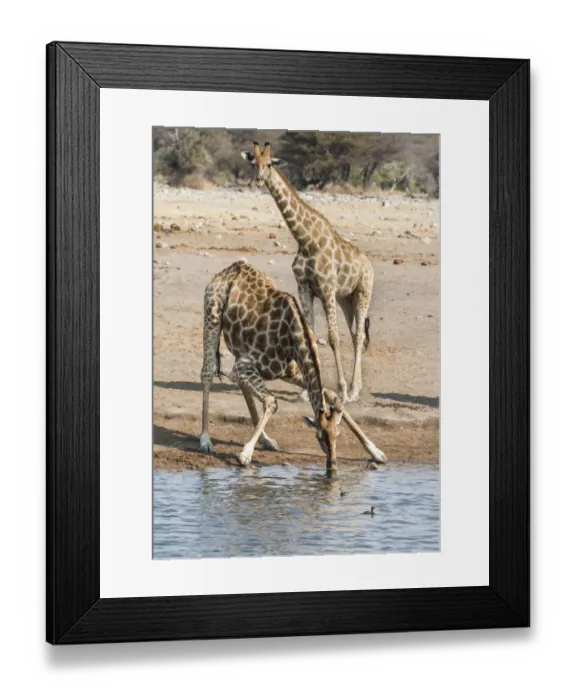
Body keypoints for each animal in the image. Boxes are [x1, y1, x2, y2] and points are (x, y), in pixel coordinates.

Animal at [199, 261, 388, 472]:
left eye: (338, 435)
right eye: (318, 436)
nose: (332, 466)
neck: (290, 337)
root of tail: (233, 267)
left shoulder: (288, 371)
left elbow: (332, 395)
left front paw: (376, 452)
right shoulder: (244, 366)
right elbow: (272, 401)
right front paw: (245, 454)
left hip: (240, 350)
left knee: (241, 385)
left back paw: (266, 440)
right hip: (212, 316)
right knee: (207, 373)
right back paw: (205, 440)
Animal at [241, 142, 375, 404]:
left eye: (269, 163)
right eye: (254, 163)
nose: (259, 180)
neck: (306, 240)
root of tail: (369, 265)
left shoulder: (327, 288)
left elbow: (333, 338)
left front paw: (342, 390)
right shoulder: (305, 287)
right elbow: (310, 337)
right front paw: (305, 392)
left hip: (363, 292)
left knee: (358, 337)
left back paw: (354, 392)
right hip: (346, 299)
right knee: (355, 332)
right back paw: (357, 388)